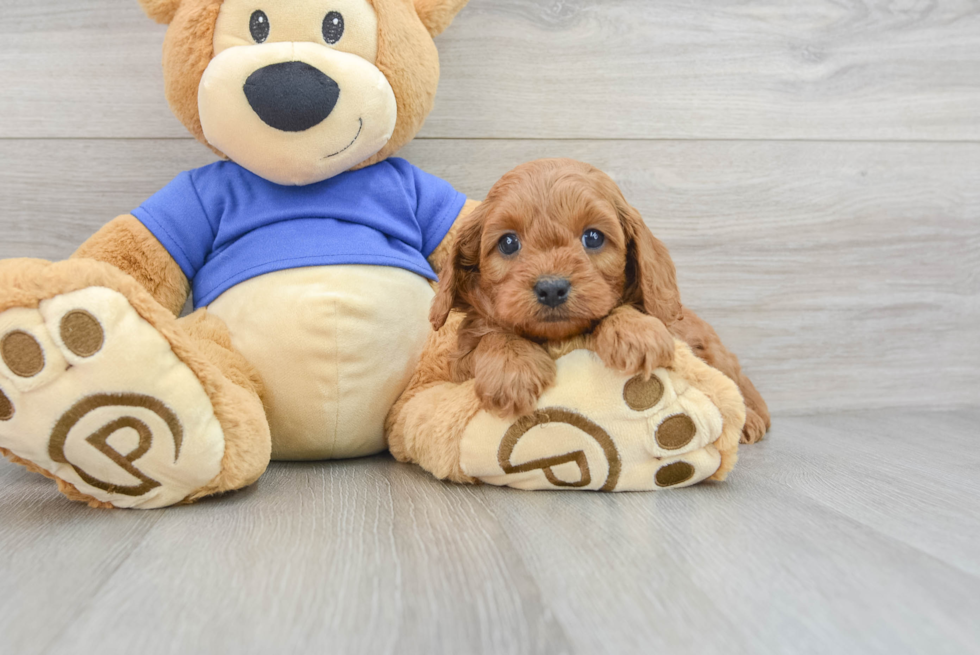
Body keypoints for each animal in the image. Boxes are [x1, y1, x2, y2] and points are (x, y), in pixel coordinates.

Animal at [432, 160, 768, 446]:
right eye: (508, 242)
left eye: (593, 237)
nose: (551, 288)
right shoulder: (459, 364)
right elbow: (492, 335)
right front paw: (511, 369)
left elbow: (624, 310)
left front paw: (635, 333)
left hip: (713, 350)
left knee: (736, 380)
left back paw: (751, 419)